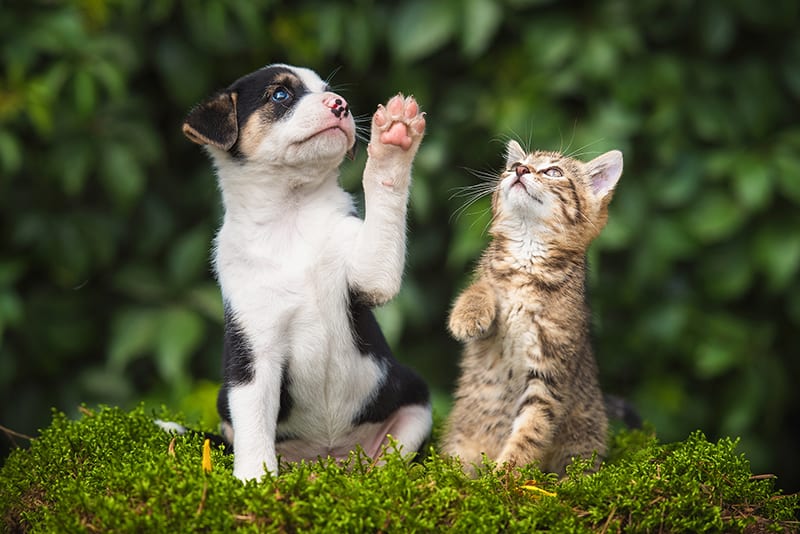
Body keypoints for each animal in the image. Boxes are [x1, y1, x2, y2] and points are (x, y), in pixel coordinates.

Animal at [181, 65, 432, 484]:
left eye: (327, 90)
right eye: (280, 95)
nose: (340, 105)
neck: (291, 214)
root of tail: (328, 460)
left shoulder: (369, 274)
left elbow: (384, 191)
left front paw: (393, 140)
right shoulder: (254, 353)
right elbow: (254, 426)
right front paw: (254, 480)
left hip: (415, 404)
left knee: (389, 458)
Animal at [440, 139, 620, 478]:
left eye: (553, 172)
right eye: (514, 165)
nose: (520, 170)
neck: (527, 256)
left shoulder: (549, 372)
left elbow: (531, 430)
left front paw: (504, 475)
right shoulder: (490, 284)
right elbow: (480, 286)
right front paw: (467, 315)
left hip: (584, 437)